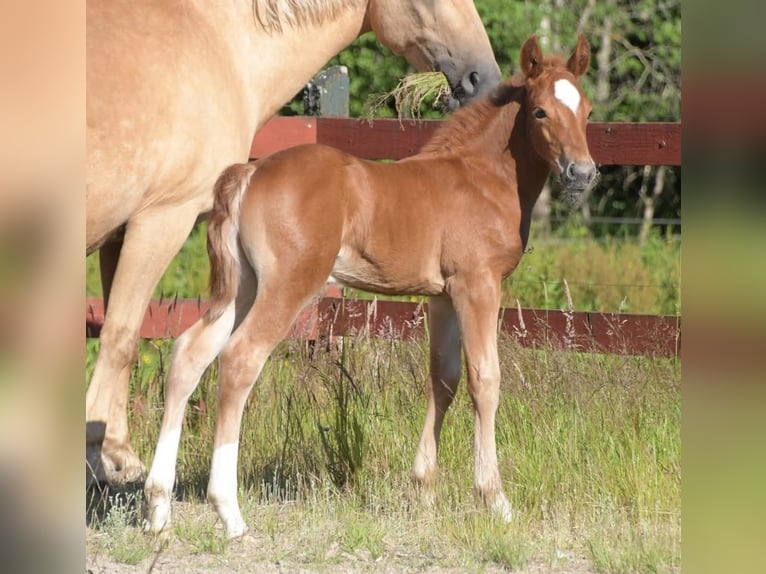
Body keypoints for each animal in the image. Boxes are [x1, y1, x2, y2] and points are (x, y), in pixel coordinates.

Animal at [86, 0, 500, 485]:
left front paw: (118, 455)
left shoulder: (120, 234)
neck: (221, 46)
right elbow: (121, 337)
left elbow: (121, 339)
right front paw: (99, 456)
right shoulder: (161, 219)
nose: (483, 78)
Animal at [142, 34, 597, 539]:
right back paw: (229, 512)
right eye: (540, 112)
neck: (480, 178)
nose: (582, 173)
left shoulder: (442, 297)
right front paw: (495, 499)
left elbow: (444, 379)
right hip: (287, 285)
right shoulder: (477, 286)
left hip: (243, 286)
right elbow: (485, 379)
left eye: (588, 111)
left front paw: (424, 491)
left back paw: (158, 509)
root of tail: (250, 173)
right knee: (240, 359)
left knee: (190, 353)